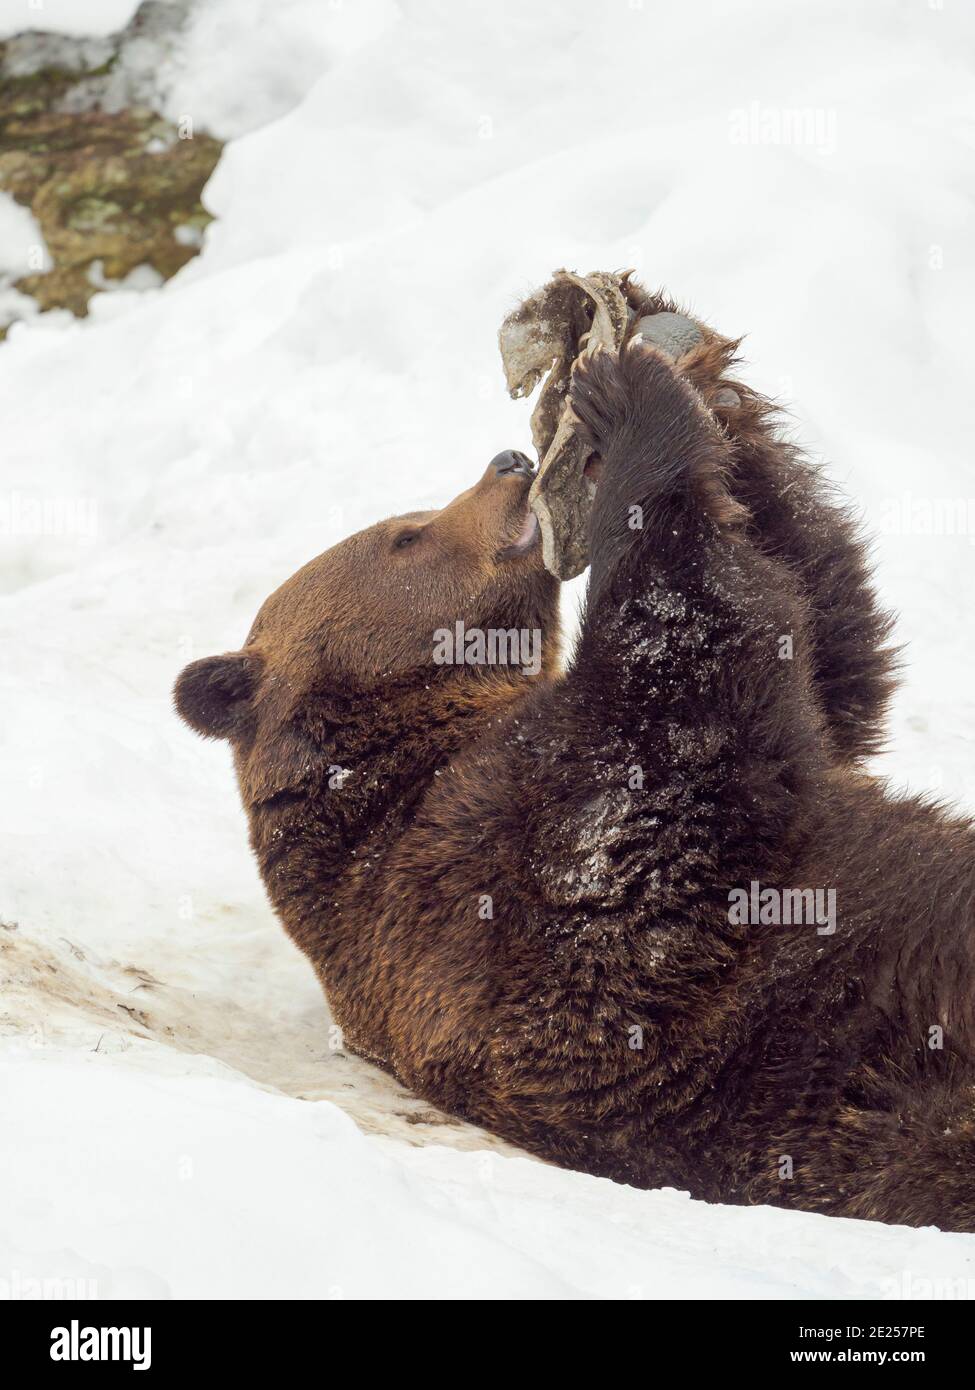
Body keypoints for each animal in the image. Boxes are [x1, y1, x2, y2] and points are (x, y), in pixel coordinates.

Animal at [175, 279, 973, 1228]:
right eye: (406, 533)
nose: (509, 462)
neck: (410, 734)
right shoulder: (485, 865)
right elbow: (677, 705)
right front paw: (626, 400)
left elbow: (826, 649)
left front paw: (663, 338)